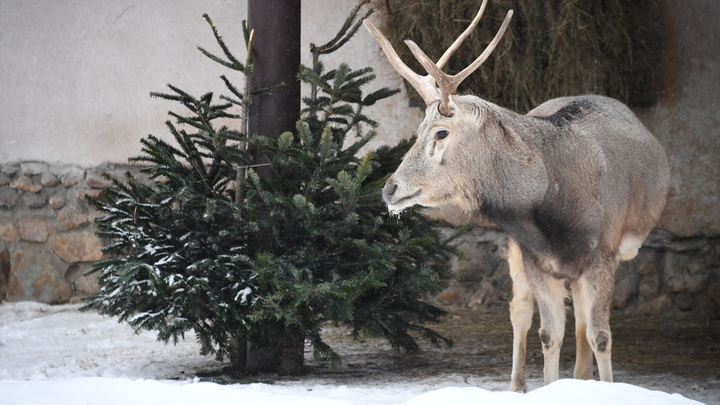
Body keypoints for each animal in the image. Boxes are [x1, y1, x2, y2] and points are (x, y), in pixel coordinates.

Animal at [362, 0, 672, 392]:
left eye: (441, 132)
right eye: (418, 130)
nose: (390, 188)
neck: (557, 203)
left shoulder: (604, 251)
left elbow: (600, 336)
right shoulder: (533, 255)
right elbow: (549, 334)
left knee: (582, 323)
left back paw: (581, 377)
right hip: (516, 252)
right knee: (520, 312)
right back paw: (519, 385)